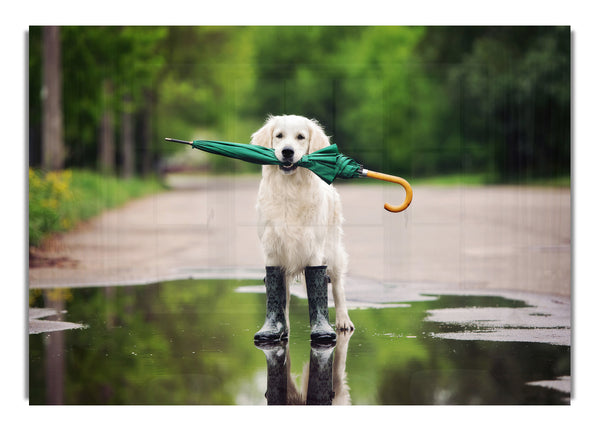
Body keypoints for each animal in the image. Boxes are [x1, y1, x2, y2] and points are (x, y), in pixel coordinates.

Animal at [251, 114, 354, 330]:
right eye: (279, 136)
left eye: (301, 137)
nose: (287, 152)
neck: (290, 189)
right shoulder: (273, 250)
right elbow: (279, 295)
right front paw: (278, 327)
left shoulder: (313, 249)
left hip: (333, 251)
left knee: (338, 286)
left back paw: (343, 320)